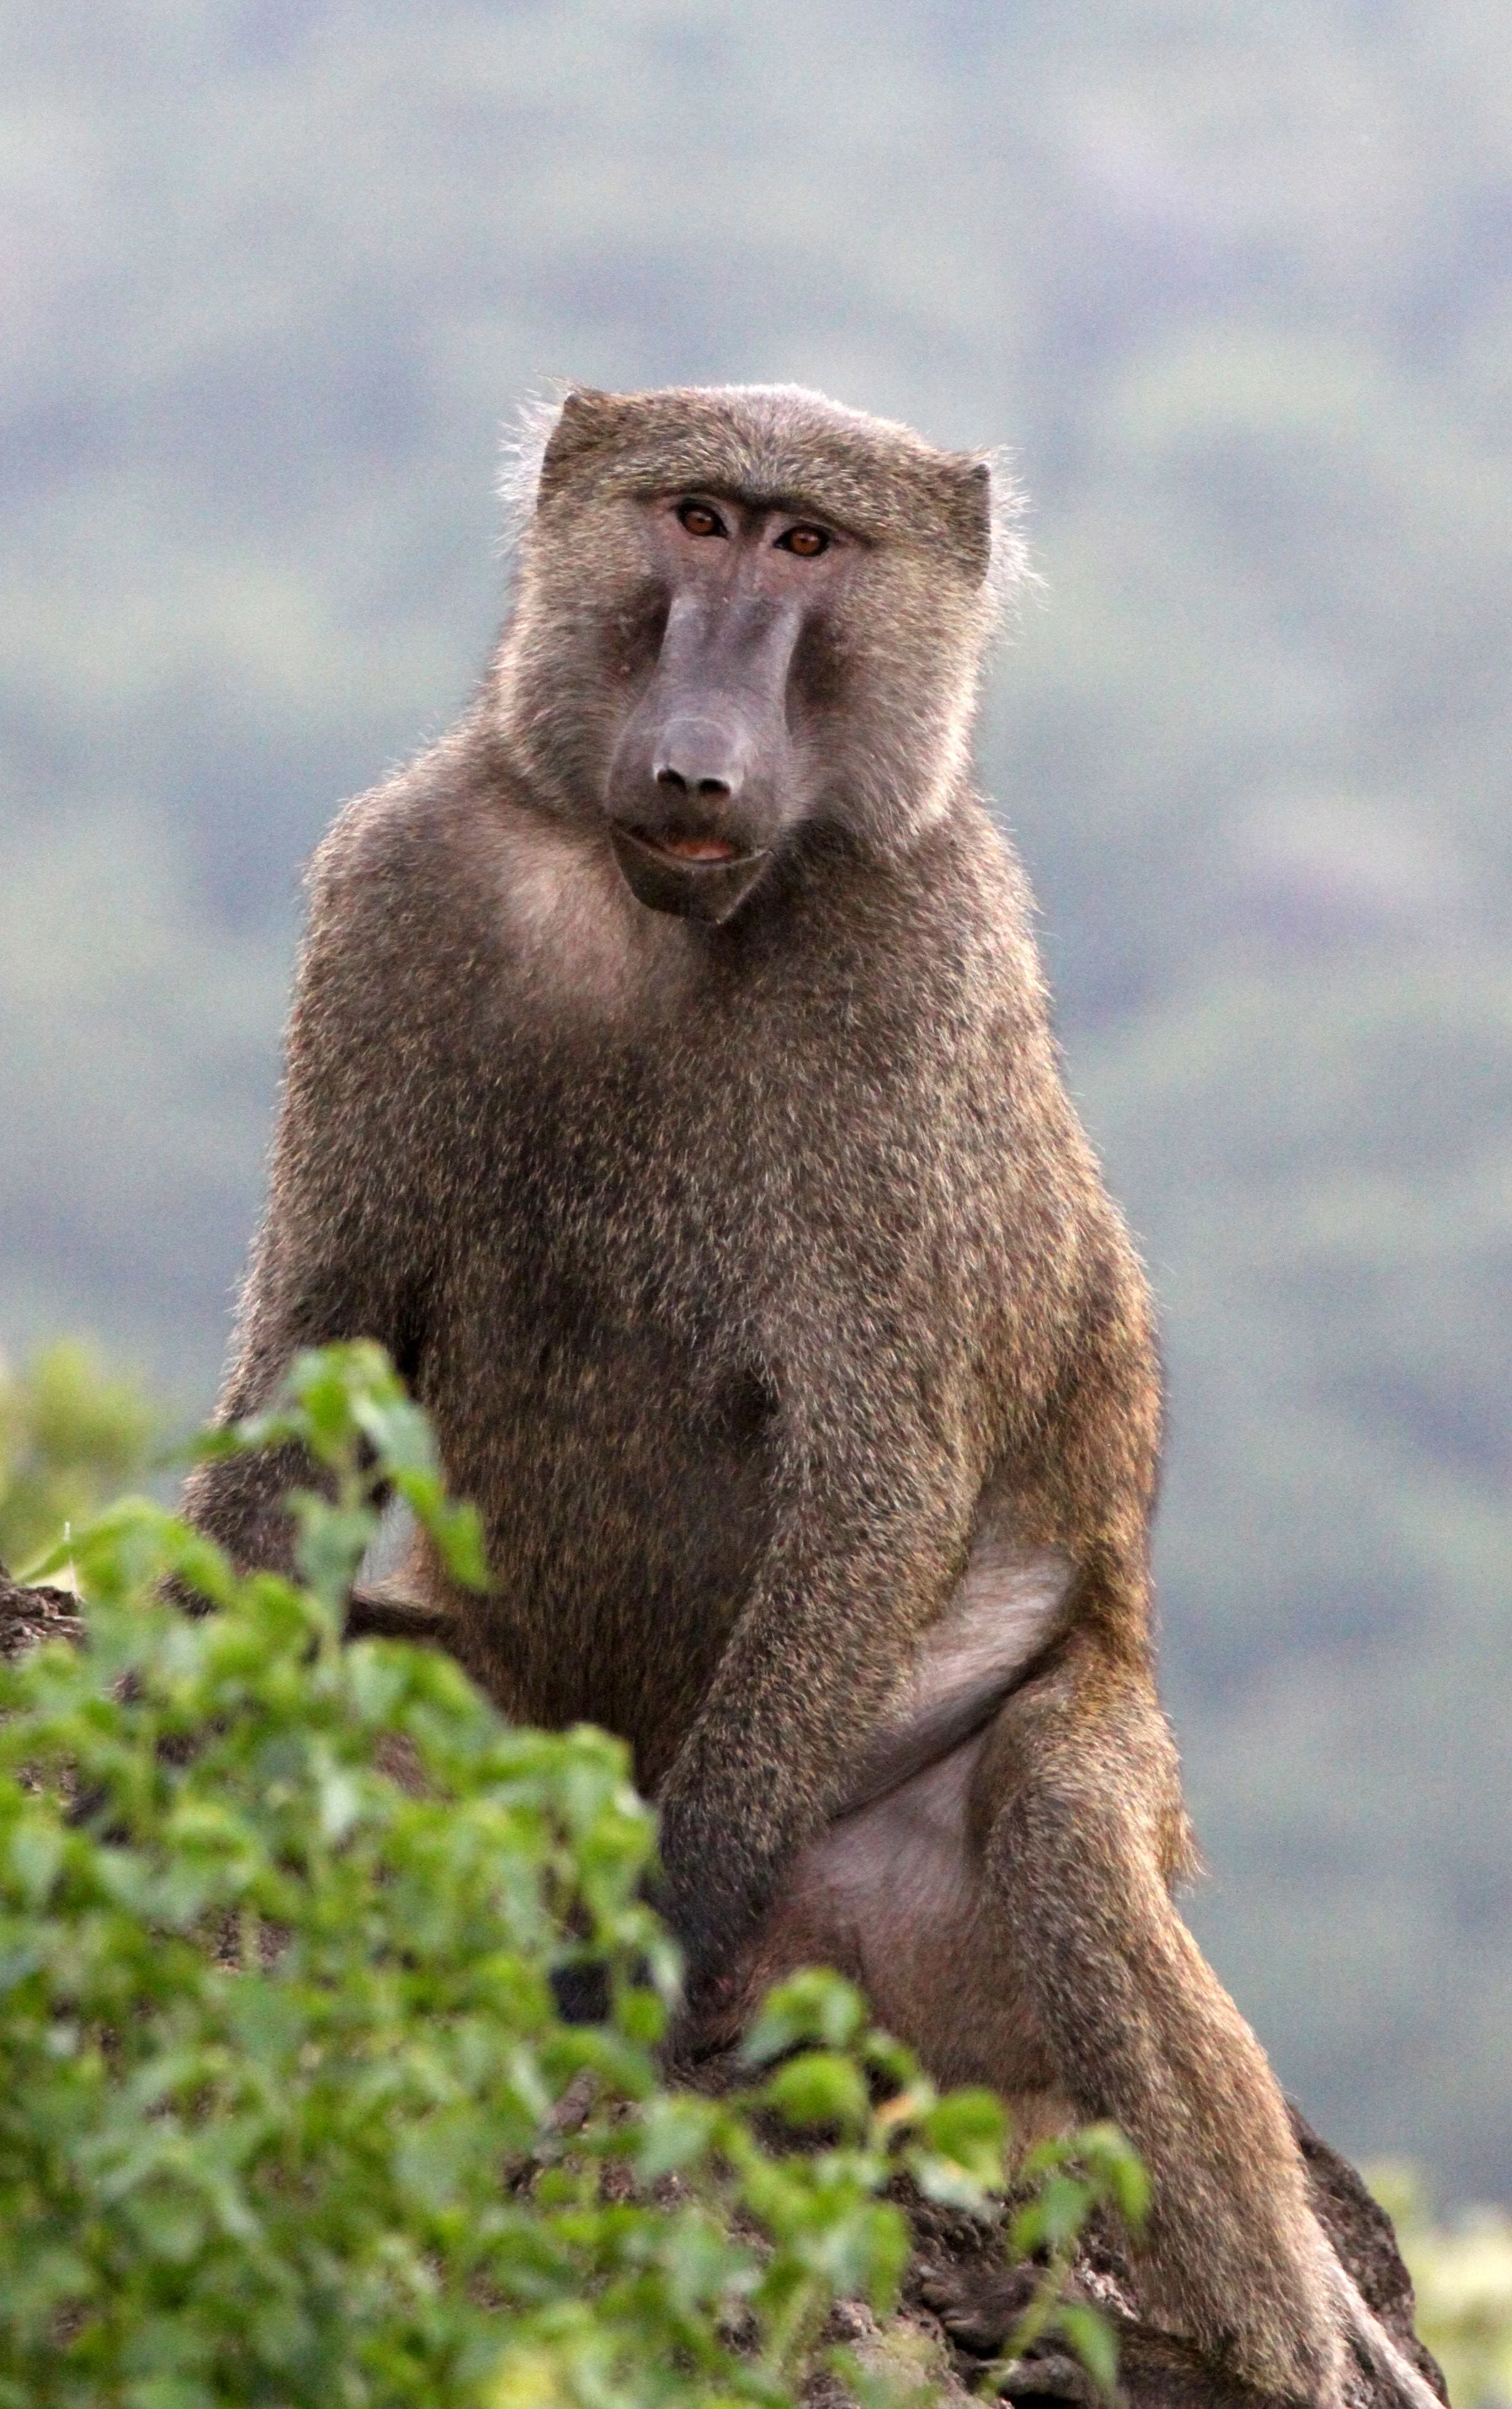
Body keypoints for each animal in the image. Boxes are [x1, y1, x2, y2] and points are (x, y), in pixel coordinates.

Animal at [180, 384, 1435, 2409]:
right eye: (694, 517)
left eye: (805, 547)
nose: (698, 762)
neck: (649, 913)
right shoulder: (392, 894)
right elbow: (312, 1355)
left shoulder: (914, 983)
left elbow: (878, 1479)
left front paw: (625, 1961)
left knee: (1060, 1827)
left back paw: (1266, 2345)